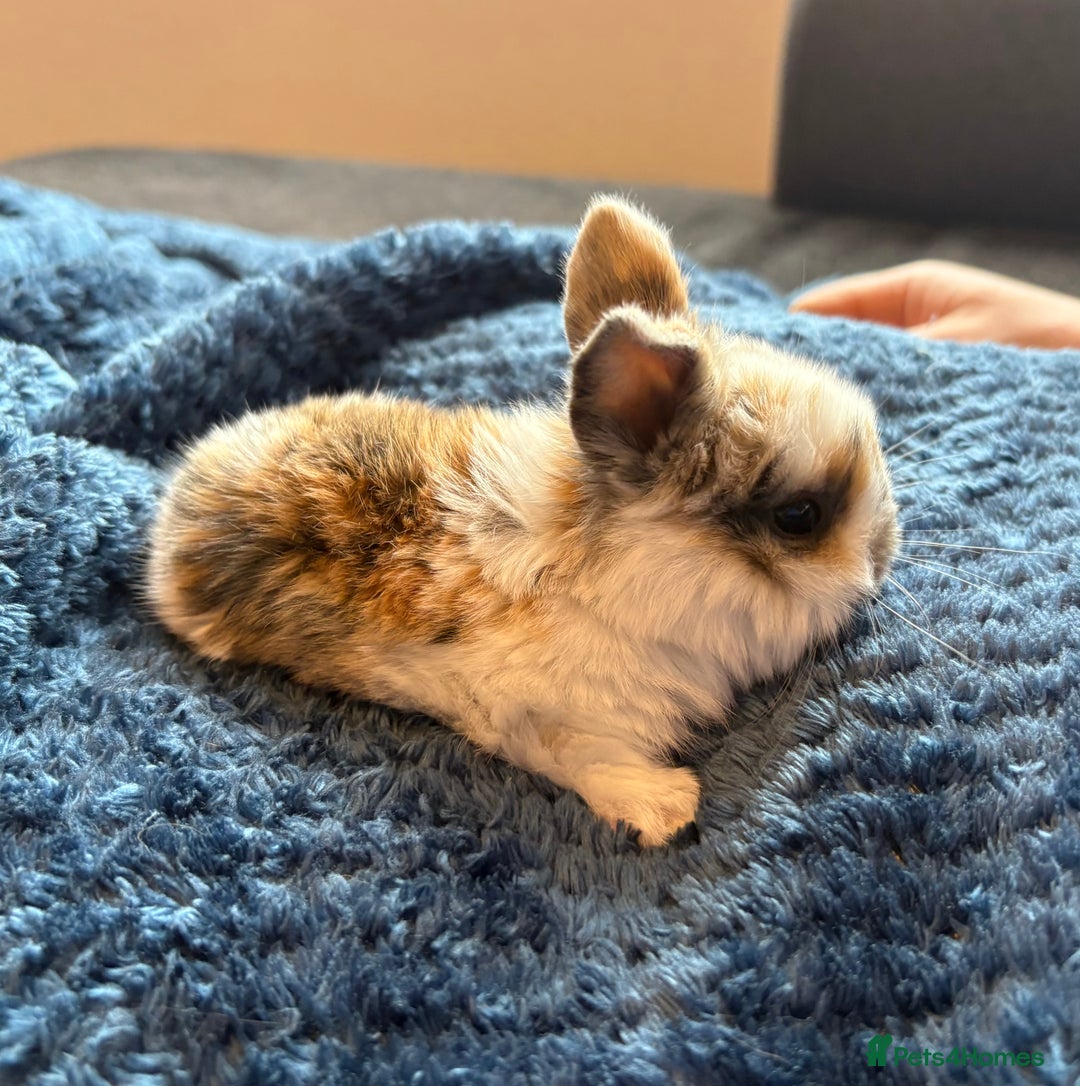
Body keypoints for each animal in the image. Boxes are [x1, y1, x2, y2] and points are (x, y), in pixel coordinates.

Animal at [147, 196, 899, 846]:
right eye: (799, 517)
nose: (883, 556)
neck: (621, 577)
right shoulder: (532, 715)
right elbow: (581, 758)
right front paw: (664, 810)